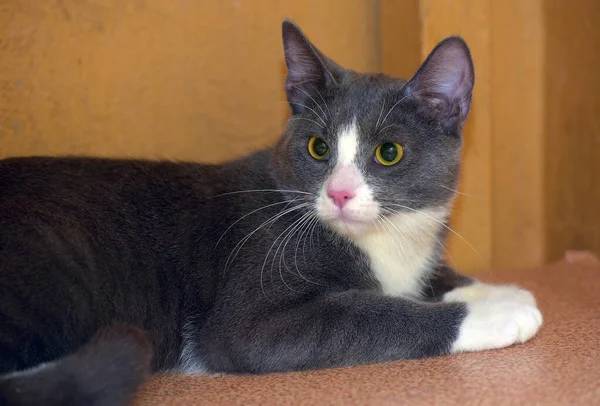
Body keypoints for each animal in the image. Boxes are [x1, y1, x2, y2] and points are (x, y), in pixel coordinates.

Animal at [0, 19, 544, 406]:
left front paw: (496, 288)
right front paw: (498, 312)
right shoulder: (250, 309)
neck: (379, 239)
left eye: (388, 153)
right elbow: (367, 312)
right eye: (318, 148)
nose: (339, 194)